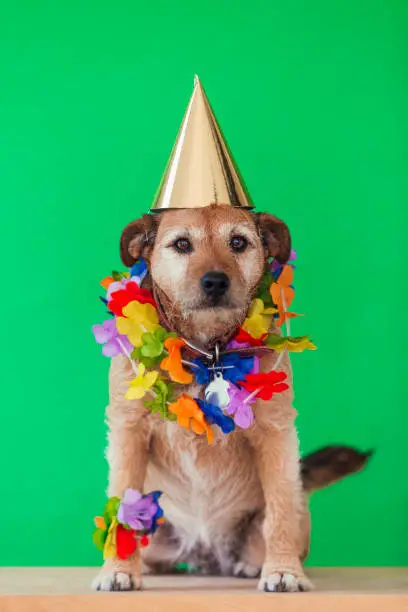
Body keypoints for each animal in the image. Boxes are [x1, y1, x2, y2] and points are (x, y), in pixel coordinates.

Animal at [93, 204, 370, 592]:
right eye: (182, 244)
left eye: (238, 242)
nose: (215, 281)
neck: (208, 352)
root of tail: (205, 553)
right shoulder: (128, 430)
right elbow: (123, 504)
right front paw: (118, 569)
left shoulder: (276, 433)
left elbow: (280, 510)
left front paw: (283, 570)